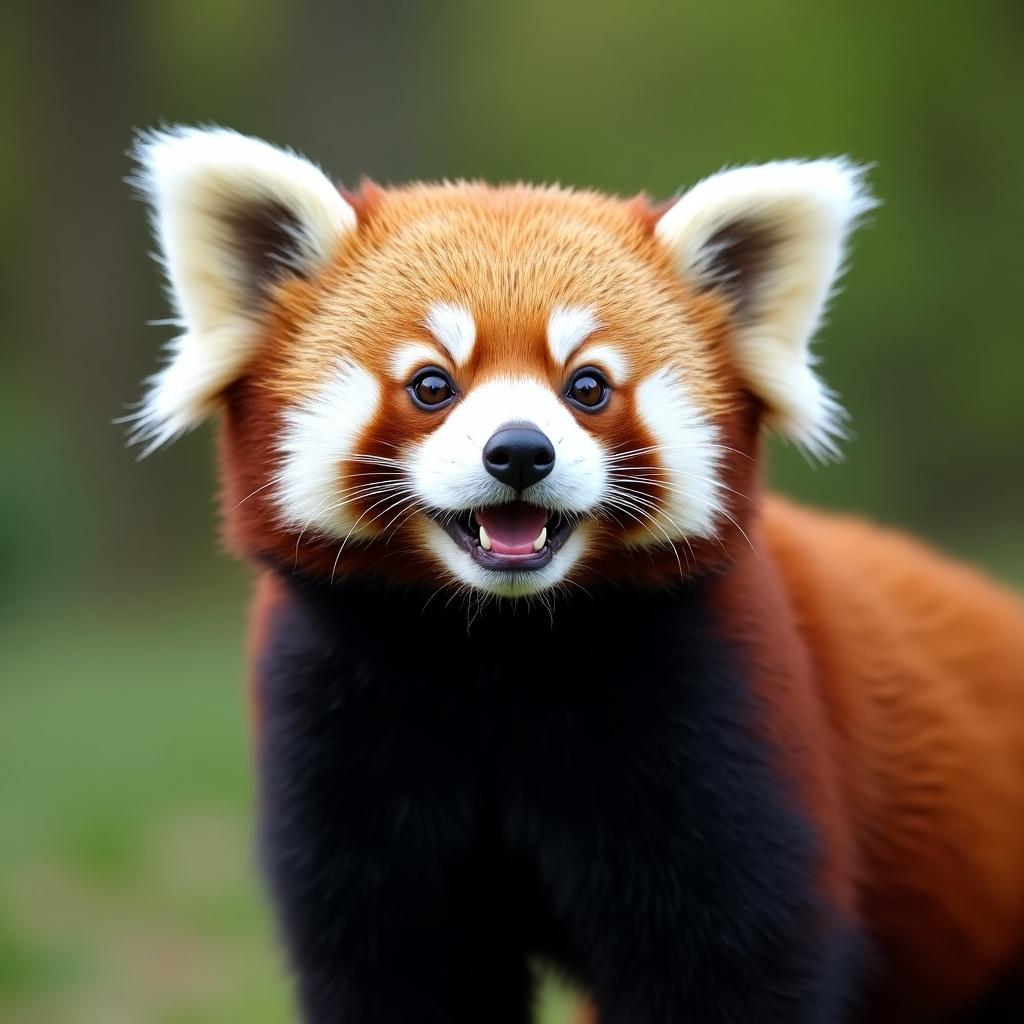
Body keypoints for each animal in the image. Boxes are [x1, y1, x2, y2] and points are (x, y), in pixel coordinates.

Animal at [128, 128, 1024, 1024]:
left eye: (587, 386)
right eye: (432, 384)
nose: (521, 452)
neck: (496, 655)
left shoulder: (729, 713)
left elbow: (729, 966)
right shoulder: (338, 735)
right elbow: (401, 968)